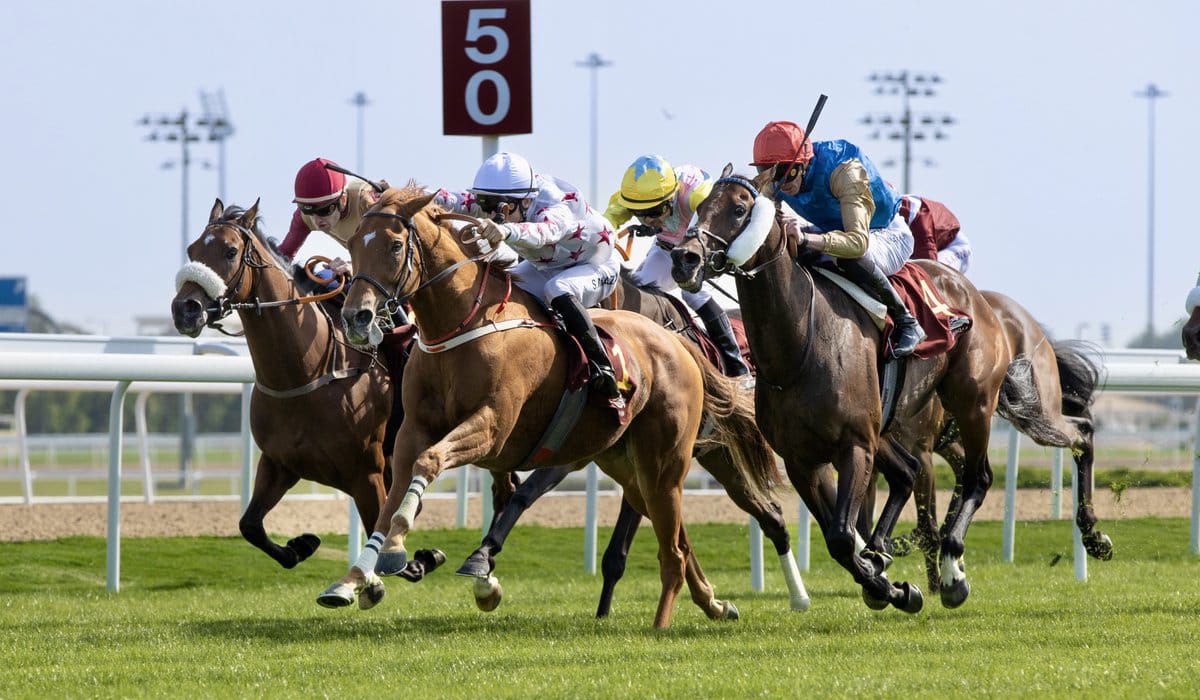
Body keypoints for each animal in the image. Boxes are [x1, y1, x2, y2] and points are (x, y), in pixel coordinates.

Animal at [169, 200, 391, 588]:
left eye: (230, 251)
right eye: (191, 249)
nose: (185, 310)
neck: (307, 374)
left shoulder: (368, 473)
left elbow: (381, 530)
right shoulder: (279, 463)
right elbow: (249, 525)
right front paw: (300, 546)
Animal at [453, 271, 811, 614]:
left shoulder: (587, 456)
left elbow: (611, 548)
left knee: (772, 516)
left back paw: (799, 597)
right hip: (719, 457)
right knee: (772, 516)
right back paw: (796, 595)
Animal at [672, 166, 1017, 609]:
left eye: (738, 208)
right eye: (699, 207)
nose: (685, 258)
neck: (799, 348)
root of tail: (970, 292)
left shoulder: (854, 445)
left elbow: (839, 536)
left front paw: (891, 586)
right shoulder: (802, 460)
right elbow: (839, 539)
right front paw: (888, 584)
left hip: (972, 401)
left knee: (977, 478)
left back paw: (952, 571)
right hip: (885, 427)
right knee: (907, 472)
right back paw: (883, 553)